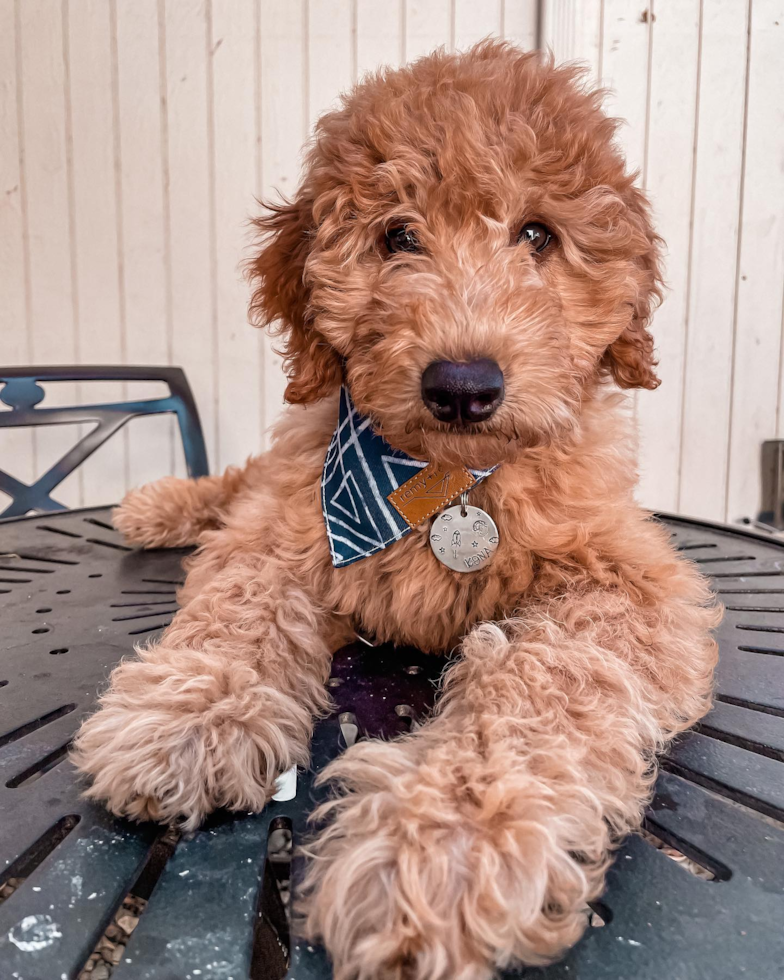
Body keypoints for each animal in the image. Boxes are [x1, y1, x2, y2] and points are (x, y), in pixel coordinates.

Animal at [72, 42, 716, 980]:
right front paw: (191, 715)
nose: (464, 385)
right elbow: (240, 599)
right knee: (239, 482)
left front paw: (447, 842)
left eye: (538, 235)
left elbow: (549, 673)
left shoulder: (636, 582)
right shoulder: (284, 522)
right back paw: (159, 504)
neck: (444, 480)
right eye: (398, 237)